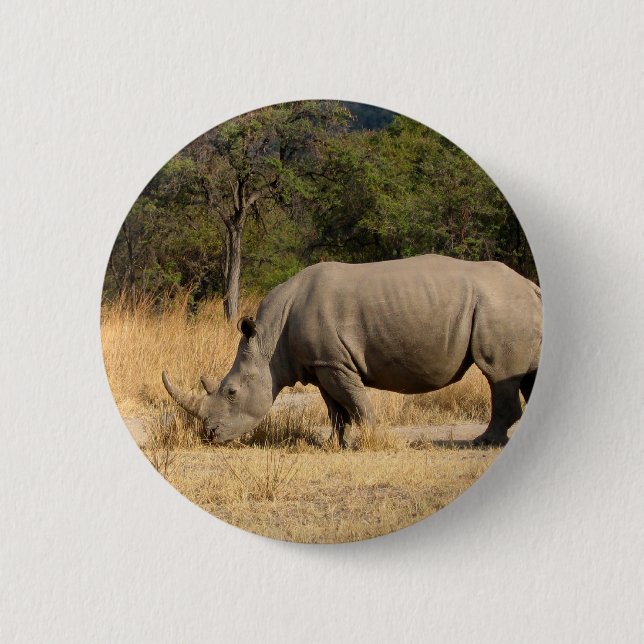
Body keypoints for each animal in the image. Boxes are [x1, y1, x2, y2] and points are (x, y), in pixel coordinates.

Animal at [162, 254, 542, 446]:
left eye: (231, 392)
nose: (210, 435)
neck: (268, 342)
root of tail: (531, 285)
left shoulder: (334, 362)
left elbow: (356, 403)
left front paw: (375, 439)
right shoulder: (321, 364)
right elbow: (336, 409)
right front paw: (334, 445)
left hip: (501, 304)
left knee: (498, 373)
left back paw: (483, 442)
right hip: (512, 305)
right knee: (526, 374)